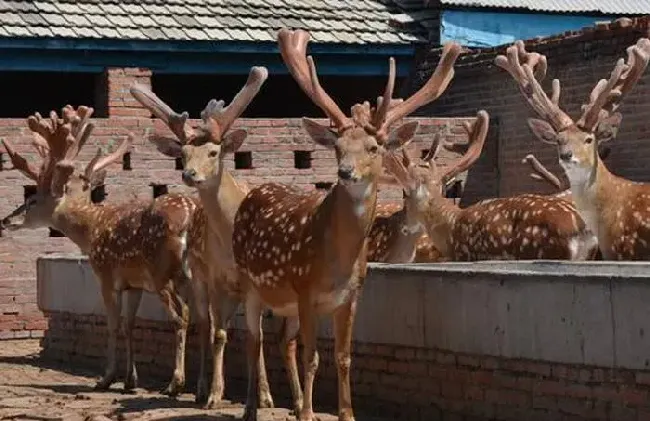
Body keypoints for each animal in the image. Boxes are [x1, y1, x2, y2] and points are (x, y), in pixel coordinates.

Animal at [0, 105, 195, 394]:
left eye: (32, 200)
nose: (6, 221)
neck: (91, 230)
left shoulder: (106, 274)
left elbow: (113, 324)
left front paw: (107, 377)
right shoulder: (134, 284)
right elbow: (129, 324)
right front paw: (130, 380)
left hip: (163, 273)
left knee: (181, 317)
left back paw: (175, 383)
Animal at [130, 66, 302, 410]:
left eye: (214, 151)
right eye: (183, 154)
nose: (189, 174)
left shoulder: (251, 281)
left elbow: (256, 335)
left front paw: (265, 397)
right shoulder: (216, 278)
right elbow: (220, 333)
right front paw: (214, 394)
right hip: (198, 277)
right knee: (204, 324)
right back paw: (197, 388)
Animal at [230, 27, 458, 418]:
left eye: (373, 147)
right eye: (337, 147)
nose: (345, 172)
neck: (337, 262)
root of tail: (253, 191)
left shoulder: (351, 296)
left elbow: (343, 356)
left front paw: (344, 412)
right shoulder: (305, 288)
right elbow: (312, 358)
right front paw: (309, 413)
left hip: (284, 301)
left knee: (281, 340)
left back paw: (292, 405)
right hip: (250, 281)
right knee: (253, 339)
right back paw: (253, 408)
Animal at [380, 108, 596, 260]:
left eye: (405, 195)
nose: (404, 225)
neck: (451, 228)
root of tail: (580, 231)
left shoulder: (465, 255)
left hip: (542, 249)